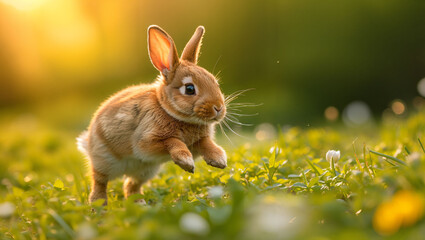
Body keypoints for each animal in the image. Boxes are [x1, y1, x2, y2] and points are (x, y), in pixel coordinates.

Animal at [77, 24, 227, 204]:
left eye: (215, 83)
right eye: (190, 89)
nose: (218, 108)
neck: (167, 110)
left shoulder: (197, 142)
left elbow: (206, 143)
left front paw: (219, 160)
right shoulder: (146, 142)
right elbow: (172, 141)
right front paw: (186, 161)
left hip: (146, 171)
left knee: (130, 185)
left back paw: (140, 204)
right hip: (104, 162)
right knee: (99, 183)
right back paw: (99, 206)